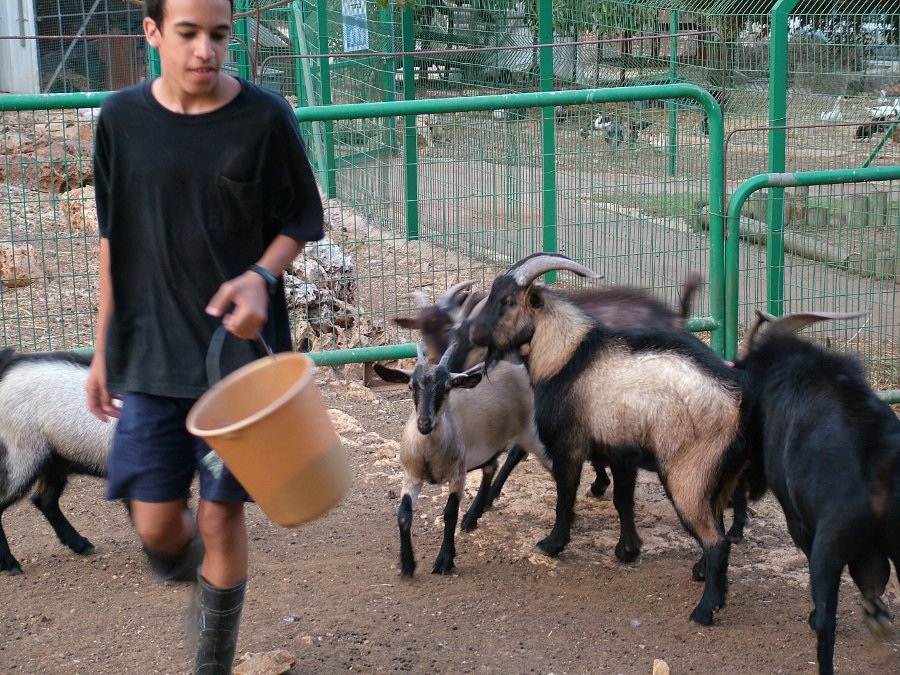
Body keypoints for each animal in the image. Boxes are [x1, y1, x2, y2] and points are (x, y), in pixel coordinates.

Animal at [374, 346, 548, 580]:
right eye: (411, 386)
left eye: (447, 387)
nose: (424, 422)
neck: (429, 454)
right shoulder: (412, 476)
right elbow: (403, 515)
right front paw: (407, 564)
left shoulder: (457, 475)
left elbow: (450, 513)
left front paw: (445, 560)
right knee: (491, 467)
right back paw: (473, 517)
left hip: (526, 429)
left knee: (517, 454)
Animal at [472, 255, 744, 628]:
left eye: (508, 301)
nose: (472, 332)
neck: (568, 356)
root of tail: (736, 405)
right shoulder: (622, 454)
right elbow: (622, 501)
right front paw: (627, 550)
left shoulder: (569, 446)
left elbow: (565, 497)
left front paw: (552, 544)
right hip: (718, 481)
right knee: (716, 526)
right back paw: (699, 572)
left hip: (687, 474)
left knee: (716, 540)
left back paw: (704, 610)